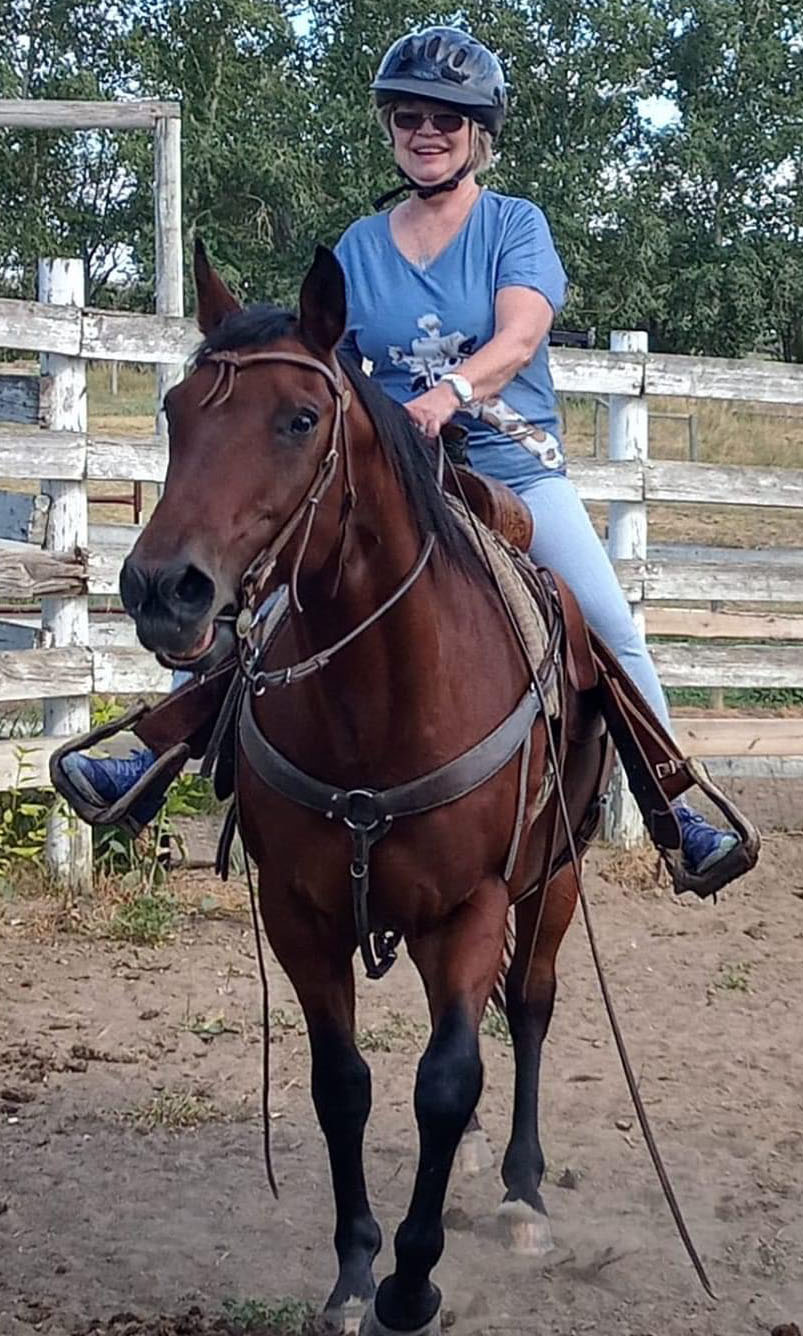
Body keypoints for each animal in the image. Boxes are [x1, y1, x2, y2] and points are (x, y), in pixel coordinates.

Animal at [118, 243, 606, 1336]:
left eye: (300, 419)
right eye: (174, 409)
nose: (163, 590)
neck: (378, 702)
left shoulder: (471, 904)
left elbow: (447, 1079)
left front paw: (411, 1281)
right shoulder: (298, 913)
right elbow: (342, 1084)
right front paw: (351, 1273)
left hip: (550, 879)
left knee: (527, 1009)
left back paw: (519, 1193)